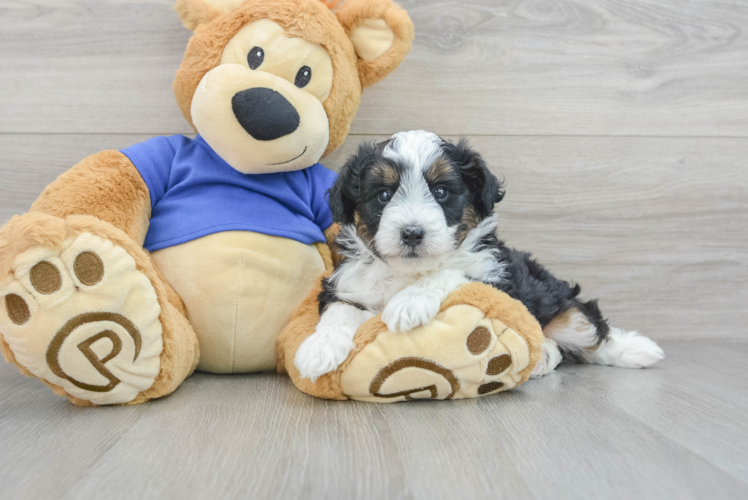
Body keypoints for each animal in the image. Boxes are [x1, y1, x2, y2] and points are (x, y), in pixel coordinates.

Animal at [296, 131, 664, 380]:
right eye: (384, 195)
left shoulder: (495, 274)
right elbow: (340, 309)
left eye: (441, 192)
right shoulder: (346, 283)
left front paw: (410, 303)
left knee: (589, 331)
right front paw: (318, 349)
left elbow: (453, 272)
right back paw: (544, 356)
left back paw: (636, 350)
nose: (412, 233)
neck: (410, 271)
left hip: (558, 304)